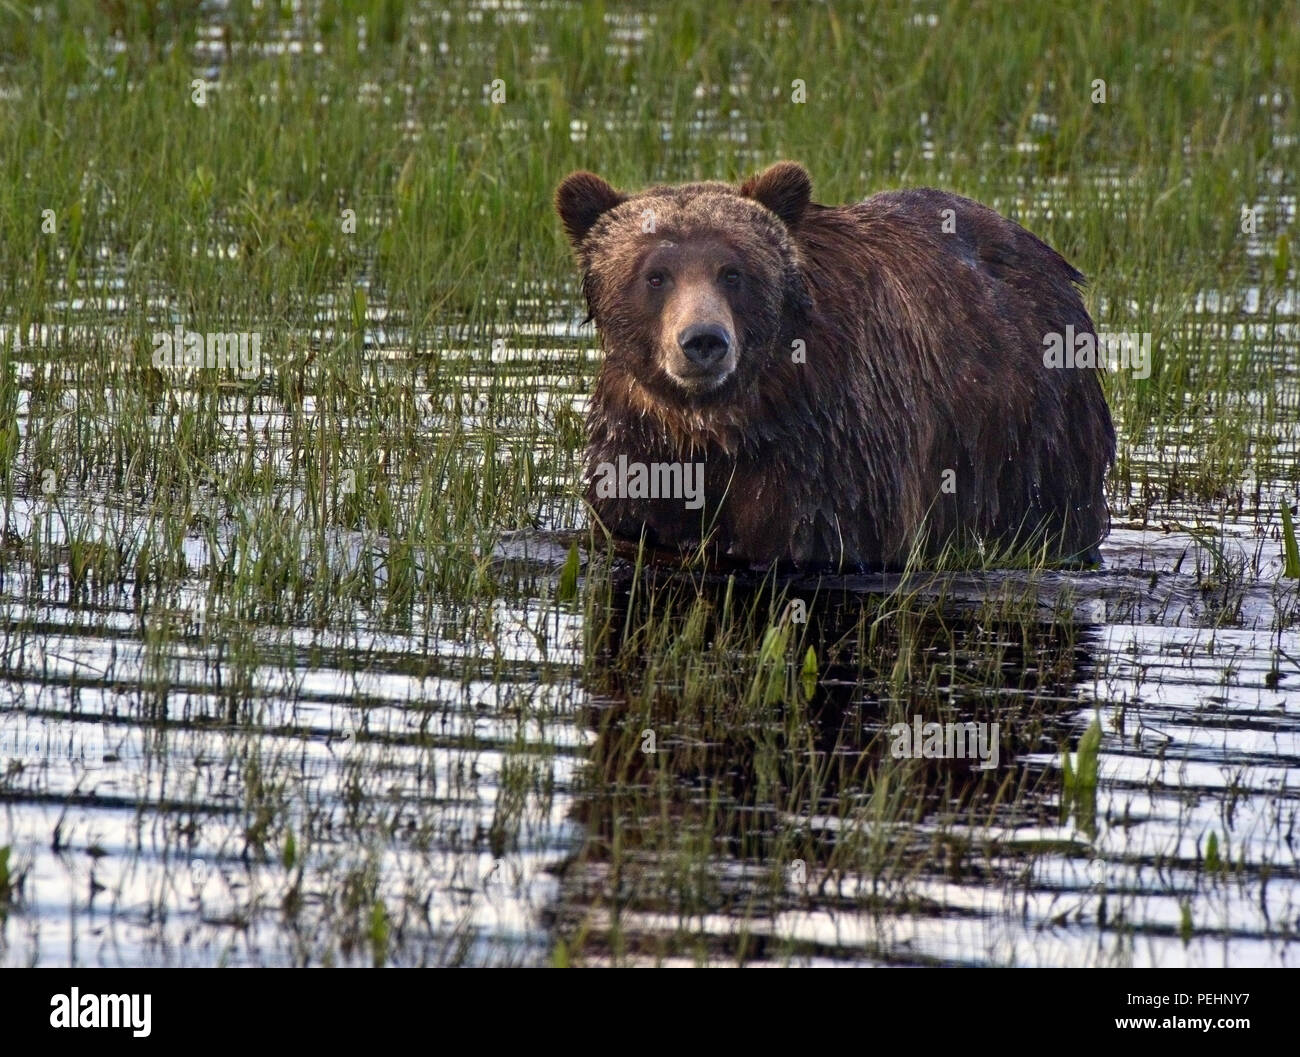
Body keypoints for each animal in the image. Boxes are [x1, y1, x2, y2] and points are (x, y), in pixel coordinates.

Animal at [556, 163, 1118, 572]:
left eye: (733, 272)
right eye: (656, 275)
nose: (704, 341)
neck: (722, 423)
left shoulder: (831, 453)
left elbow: (820, 537)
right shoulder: (642, 445)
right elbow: (636, 522)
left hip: (1036, 434)